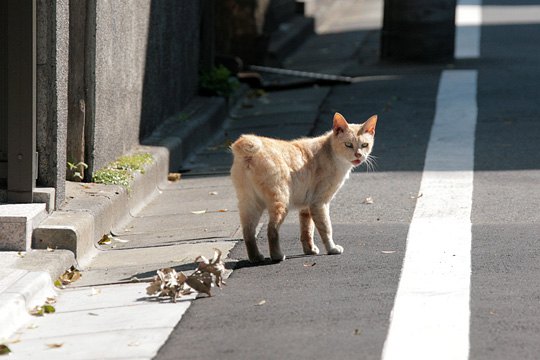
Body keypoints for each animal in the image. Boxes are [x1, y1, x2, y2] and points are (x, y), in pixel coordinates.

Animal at [230, 112, 378, 262]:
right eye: (348, 144)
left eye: (364, 145)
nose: (359, 155)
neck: (330, 152)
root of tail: (249, 145)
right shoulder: (319, 203)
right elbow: (326, 228)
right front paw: (332, 248)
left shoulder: (307, 207)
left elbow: (307, 230)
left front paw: (309, 250)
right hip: (281, 203)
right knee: (271, 230)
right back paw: (277, 256)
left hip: (249, 204)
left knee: (248, 233)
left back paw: (255, 257)